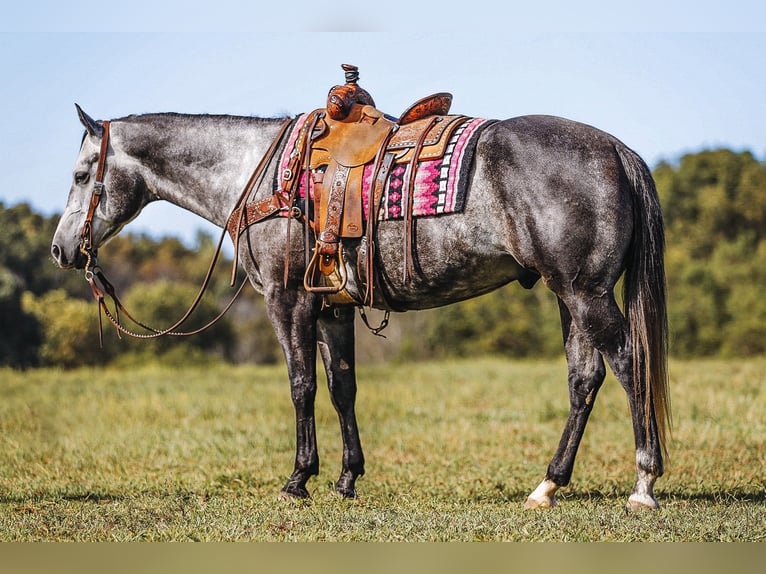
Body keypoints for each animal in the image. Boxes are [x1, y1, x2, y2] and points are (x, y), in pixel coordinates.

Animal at [51, 99, 668, 512]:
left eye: (81, 175)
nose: (61, 249)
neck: (261, 176)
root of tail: (616, 149)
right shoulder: (333, 308)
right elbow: (341, 386)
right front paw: (347, 479)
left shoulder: (288, 301)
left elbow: (301, 386)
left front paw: (298, 479)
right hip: (571, 294)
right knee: (584, 379)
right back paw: (548, 485)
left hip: (585, 293)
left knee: (626, 364)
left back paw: (643, 484)